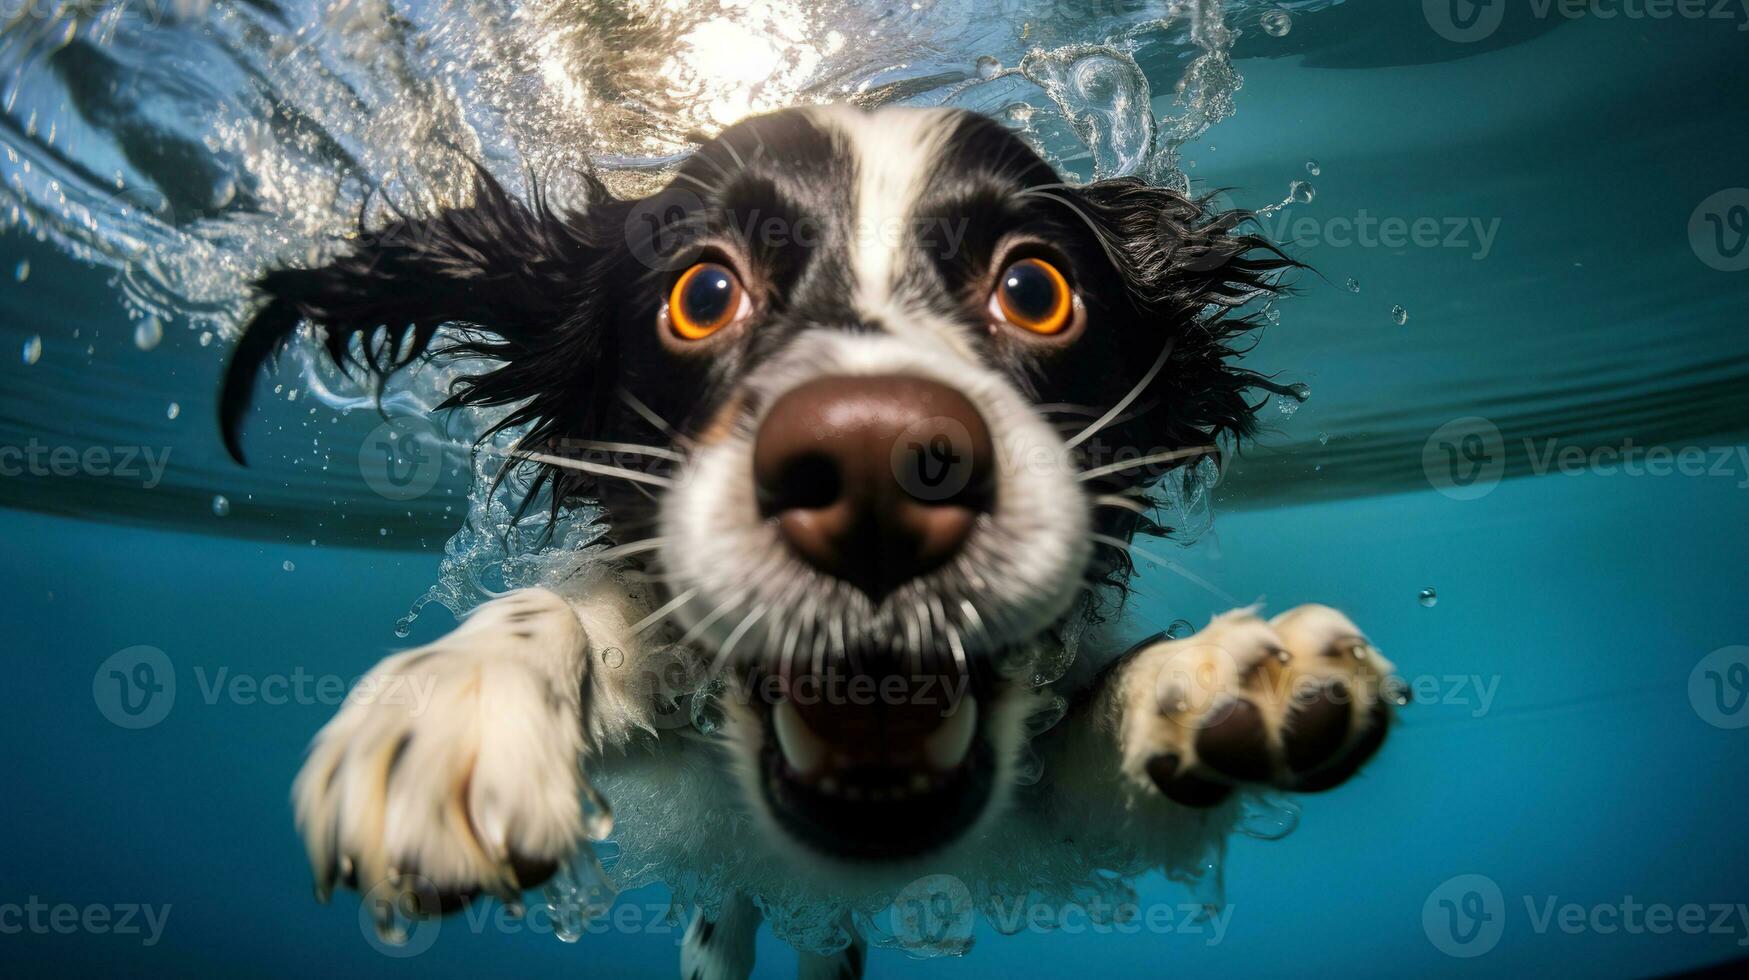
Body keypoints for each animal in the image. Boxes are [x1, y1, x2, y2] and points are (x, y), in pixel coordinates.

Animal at [218, 103, 1399, 973]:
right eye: (702, 292)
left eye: (1035, 287)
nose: (878, 461)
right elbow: (564, 619)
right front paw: (454, 708)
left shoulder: (1045, 815)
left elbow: (1101, 736)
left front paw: (1210, 682)